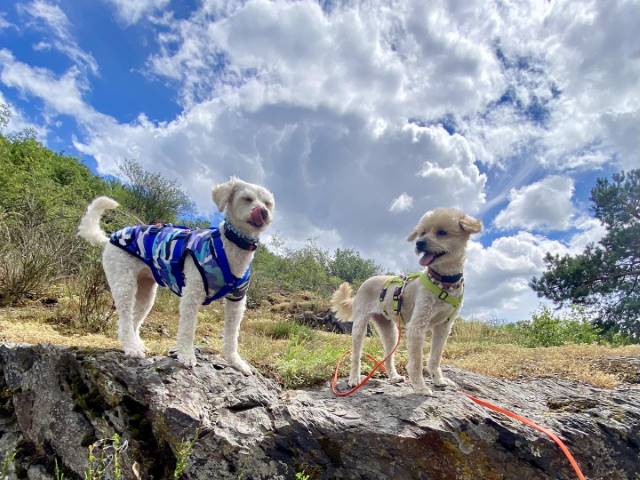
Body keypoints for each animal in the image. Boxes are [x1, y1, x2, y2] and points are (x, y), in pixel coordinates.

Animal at [79, 177, 274, 372]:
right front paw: (186, 355)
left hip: (146, 293)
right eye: (247, 199)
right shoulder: (192, 294)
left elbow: (232, 335)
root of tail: (109, 239)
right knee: (125, 319)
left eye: (268, 204)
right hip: (124, 283)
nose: (264, 213)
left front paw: (236, 362)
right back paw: (131, 348)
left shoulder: (237, 300)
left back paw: (136, 344)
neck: (231, 246)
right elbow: (188, 329)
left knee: (134, 319)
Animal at [332, 209, 482, 394]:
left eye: (442, 232)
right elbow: (416, 362)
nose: (419, 243)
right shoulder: (417, 326)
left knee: (388, 356)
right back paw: (354, 379)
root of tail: (365, 282)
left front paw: (438, 379)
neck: (443, 281)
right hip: (360, 326)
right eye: (422, 232)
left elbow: (435, 358)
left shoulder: (444, 327)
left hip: (390, 330)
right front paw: (420, 387)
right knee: (356, 355)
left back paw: (394, 377)